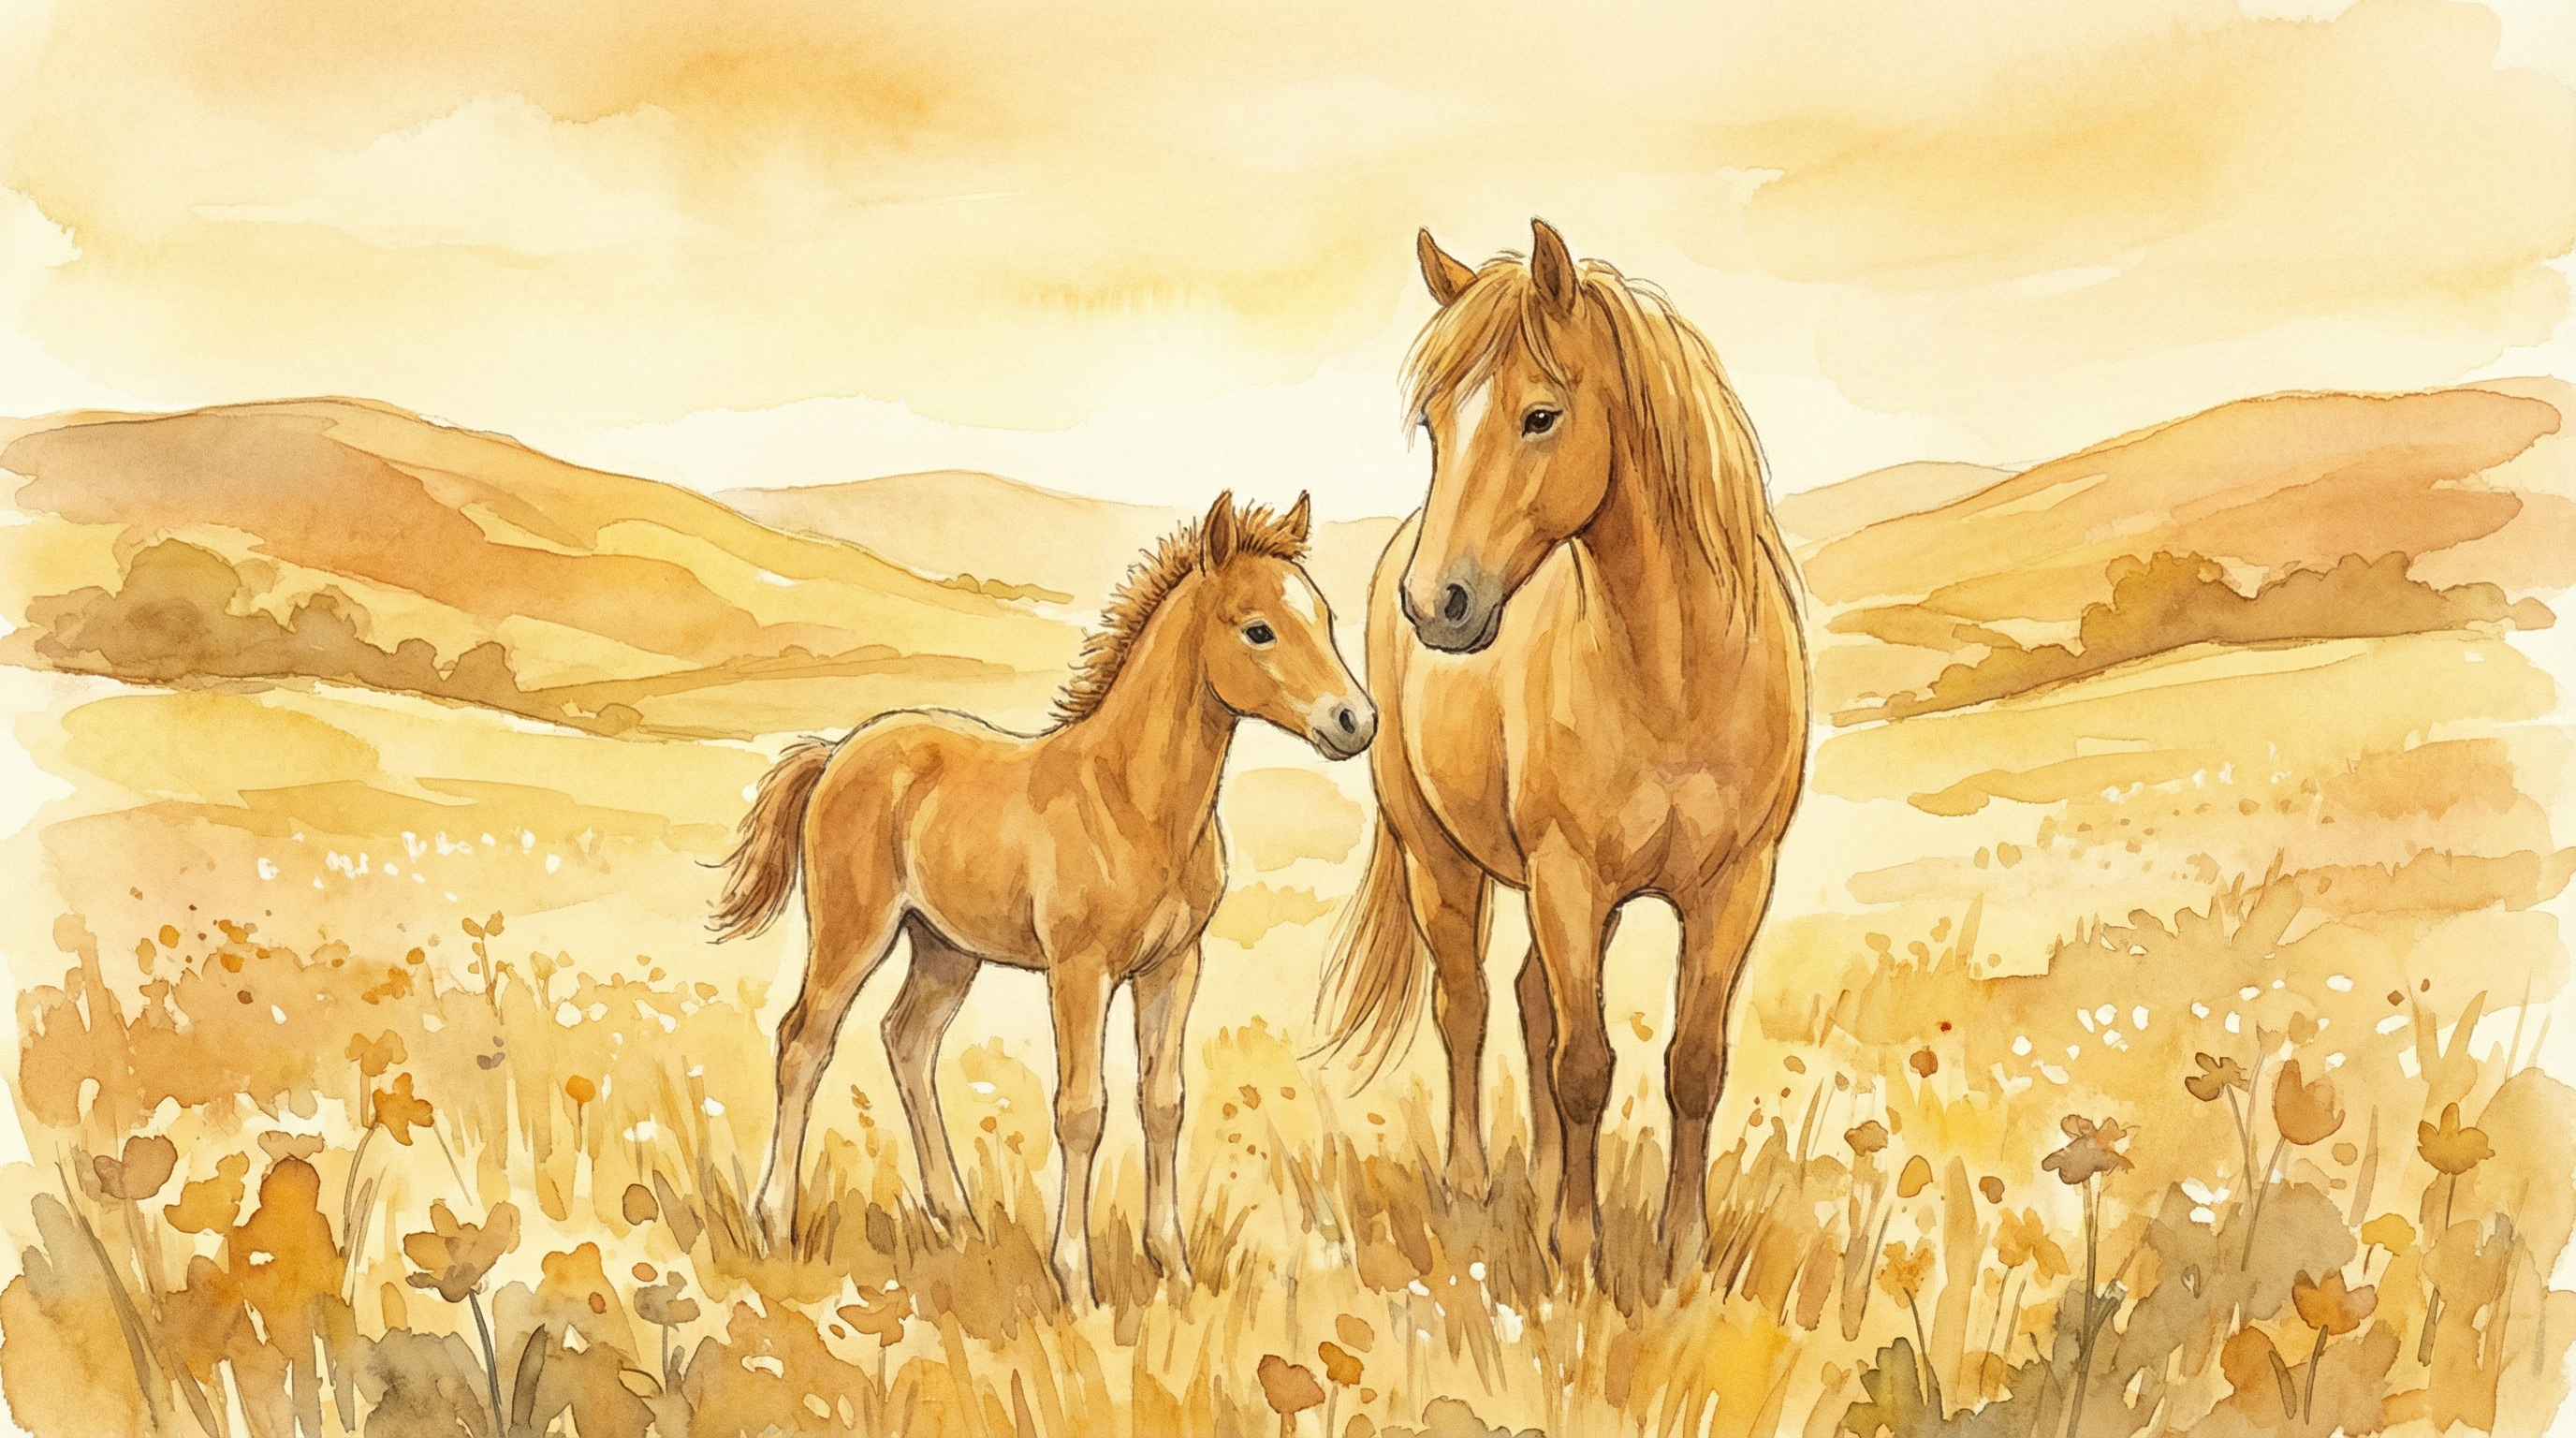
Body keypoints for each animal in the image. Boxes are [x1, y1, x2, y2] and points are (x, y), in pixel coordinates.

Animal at [713, 491, 1374, 1304]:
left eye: (1325, 616)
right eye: (1258, 628)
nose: (1355, 722)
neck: (1132, 800)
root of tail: (839, 751)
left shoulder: (1174, 966)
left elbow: (1163, 1102)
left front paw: (1175, 1268)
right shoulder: (1079, 971)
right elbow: (1082, 1109)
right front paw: (1077, 1282)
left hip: (945, 948)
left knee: (908, 1041)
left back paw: (958, 1223)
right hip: (852, 931)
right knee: (804, 1042)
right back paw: (775, 1226)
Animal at [1320, 220, 1808, 1286]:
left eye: (1540, 415)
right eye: (1434, 424)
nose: (1437, 605)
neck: (1674, 678)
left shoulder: (1734, 886)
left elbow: (1693, 1065)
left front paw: (1682, 1254)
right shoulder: (1568, 878)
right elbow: (1584, 1066)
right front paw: (1579, 1256)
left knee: (1529, 1000)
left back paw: (1543, 1186)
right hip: (1444, 862)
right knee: (1468, 1007)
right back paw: (1476, 1187)